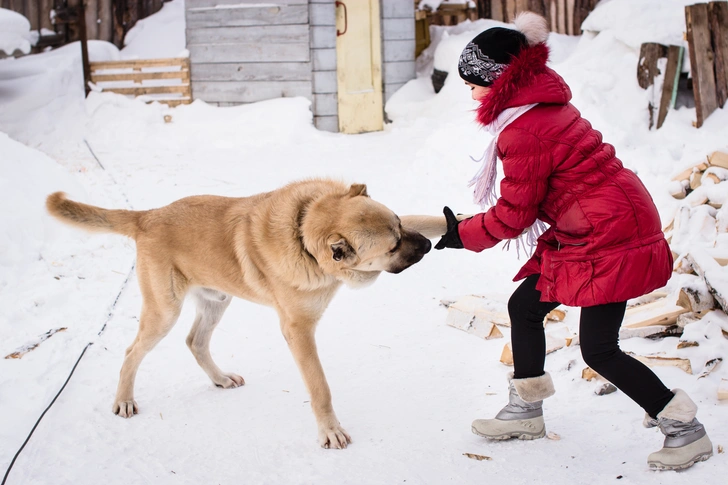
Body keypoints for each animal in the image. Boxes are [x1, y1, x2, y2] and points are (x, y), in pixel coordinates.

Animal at [47, 180, 444, 448]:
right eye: (392, 246)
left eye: (399, 224)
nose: (427, 246)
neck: (303, 232)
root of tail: (148, 217)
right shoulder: (298, 331)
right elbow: (320, 388)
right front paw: (329, 430)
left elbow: (428, 216)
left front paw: (453, 220)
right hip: (164, 312)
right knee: (133, 352)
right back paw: (125, 399)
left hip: (216, 301)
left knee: (195, 342)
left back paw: (219, 378)